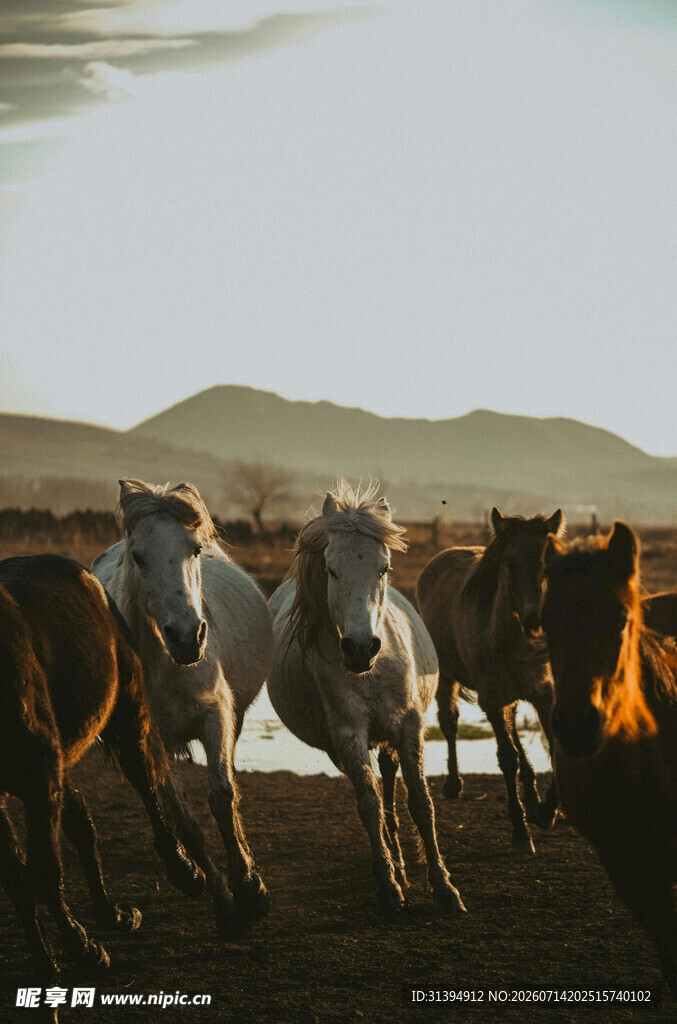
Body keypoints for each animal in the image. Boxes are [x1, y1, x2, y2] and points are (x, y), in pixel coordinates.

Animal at [0, 554, 205, 1006]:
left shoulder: (40, 778)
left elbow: (44, 871)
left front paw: (82, 949)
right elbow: (19, 879)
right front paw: (47, 962)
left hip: (126, 713)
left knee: (145, 785)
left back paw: (185, 873)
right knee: (83, 826)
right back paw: (112, 914)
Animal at [92, 479, 274, 937]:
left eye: (194, 549)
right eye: (138, 556)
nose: (187, 637)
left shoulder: (217, 717)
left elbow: (222, 795)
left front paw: (251, 889)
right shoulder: (145, 741)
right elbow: (184, 821)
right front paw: (223, 899)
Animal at [267, 481, 465, 915]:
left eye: (384, 568)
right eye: (331, 569)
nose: (360, 648)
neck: (372, 670)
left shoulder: (409, 727)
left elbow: (420, 803)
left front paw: (444, 887)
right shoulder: (349, 735)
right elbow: (369, 805)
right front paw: (388, 887)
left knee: (389, 779)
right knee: (376, 788)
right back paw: (395, 864)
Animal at [416, 507, 564, 854]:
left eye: (549, 558)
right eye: (509, 562)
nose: (534, 619)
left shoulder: (543, 694)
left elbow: (552, 746)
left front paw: (547, 810)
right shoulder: (492, 698)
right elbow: (506, 759)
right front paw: (521, 832)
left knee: (513, 731)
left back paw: (533, 797)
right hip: (447, 678)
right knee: (450, 722)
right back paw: (453, 784)